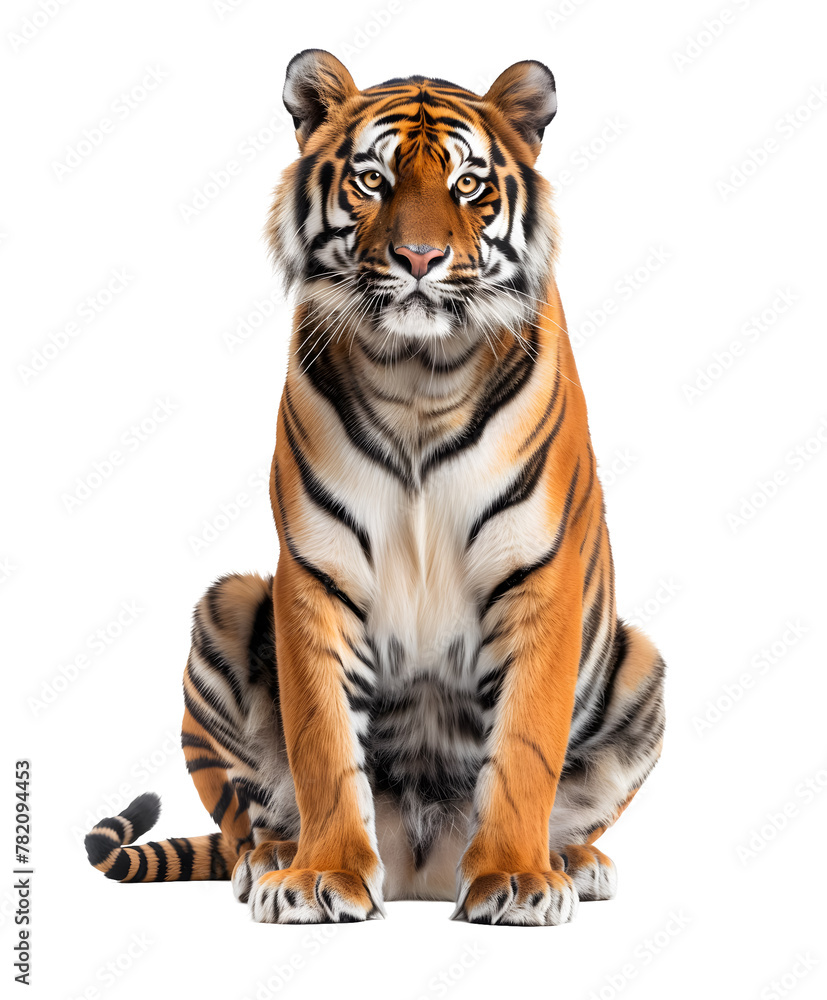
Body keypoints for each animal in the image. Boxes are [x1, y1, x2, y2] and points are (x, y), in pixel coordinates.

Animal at [85, 49, 665, 926]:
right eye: (371, 180)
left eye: (468, 184)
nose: (419, 259)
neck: (419, 376)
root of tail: (422, 868)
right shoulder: (316, 575)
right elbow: (323, 745)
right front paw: (322, 876)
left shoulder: (538, 573)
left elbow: (524, 746)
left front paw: (516, 879)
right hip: (228, 605)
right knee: (246, 820)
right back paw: (273, 859)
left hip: (641, 666)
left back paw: (572, 862)